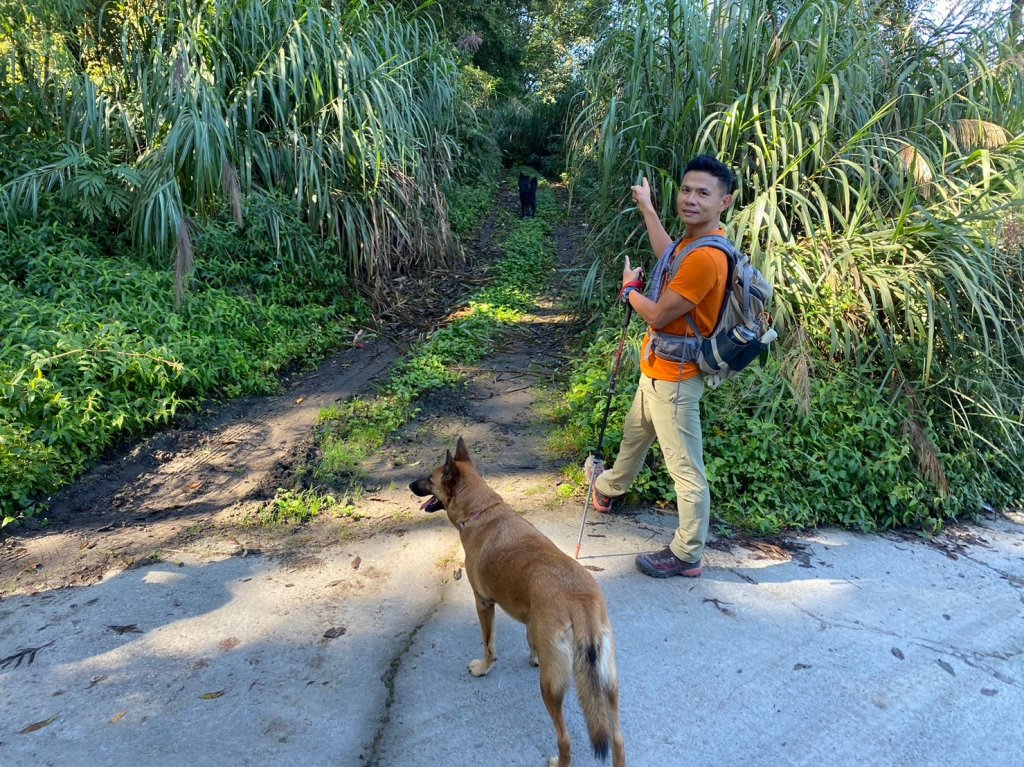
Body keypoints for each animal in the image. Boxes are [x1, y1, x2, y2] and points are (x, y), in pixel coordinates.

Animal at [407, 436, 622, 765]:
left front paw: (484, 667)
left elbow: (489, 644)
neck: (481, 510)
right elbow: (530, 638)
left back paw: (558, 760)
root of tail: (581, 602)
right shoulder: (531, 617)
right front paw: (533, 656)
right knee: (619, 741)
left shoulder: (483, 603)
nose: (409, 484)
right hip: (608, 685)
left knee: (565, 739)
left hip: (551, 689)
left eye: (430, 479)